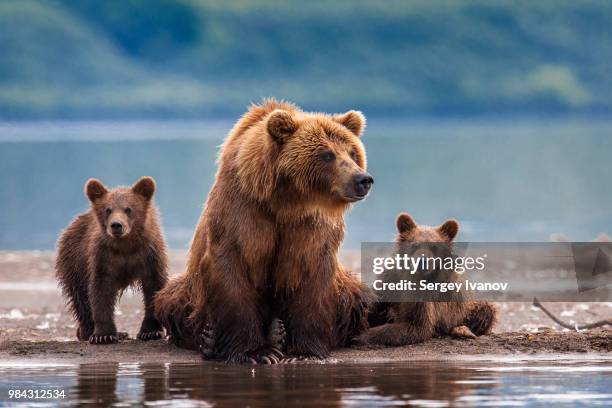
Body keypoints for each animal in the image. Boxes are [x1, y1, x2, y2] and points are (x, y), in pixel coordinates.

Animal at [56, 177, 167, 342]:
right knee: (81, 298)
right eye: (108, 209)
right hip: (74, 262)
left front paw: (151, 331)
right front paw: (103, 335)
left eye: (128, 209)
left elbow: (153, 286)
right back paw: (88, 331)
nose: (116, 225)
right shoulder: (103, 256)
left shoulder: (149, 254)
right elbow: (101, 290)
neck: (125, 245)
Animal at [154, 99, 372, 364]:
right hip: (191, 290)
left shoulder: (311, 227)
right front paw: (256, 353)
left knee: (356, 296)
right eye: (327, 154)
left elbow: (312, 277)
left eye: (352, 152)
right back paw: (209, 339)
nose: (363, 179)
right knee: (170, 299)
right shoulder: (242, 211)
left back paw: (277, 332)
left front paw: (303, 353)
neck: (287, 201)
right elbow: (232, 269)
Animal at [356, 214, 494, 348]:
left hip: (465, 309)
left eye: (434, 246)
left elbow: (417, 325)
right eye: (414, 245)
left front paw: (361, 336)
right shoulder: (390, 279)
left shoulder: (426, 297)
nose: (423, 261)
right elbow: (375, 305)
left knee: (485, 309)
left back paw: (462, 330)